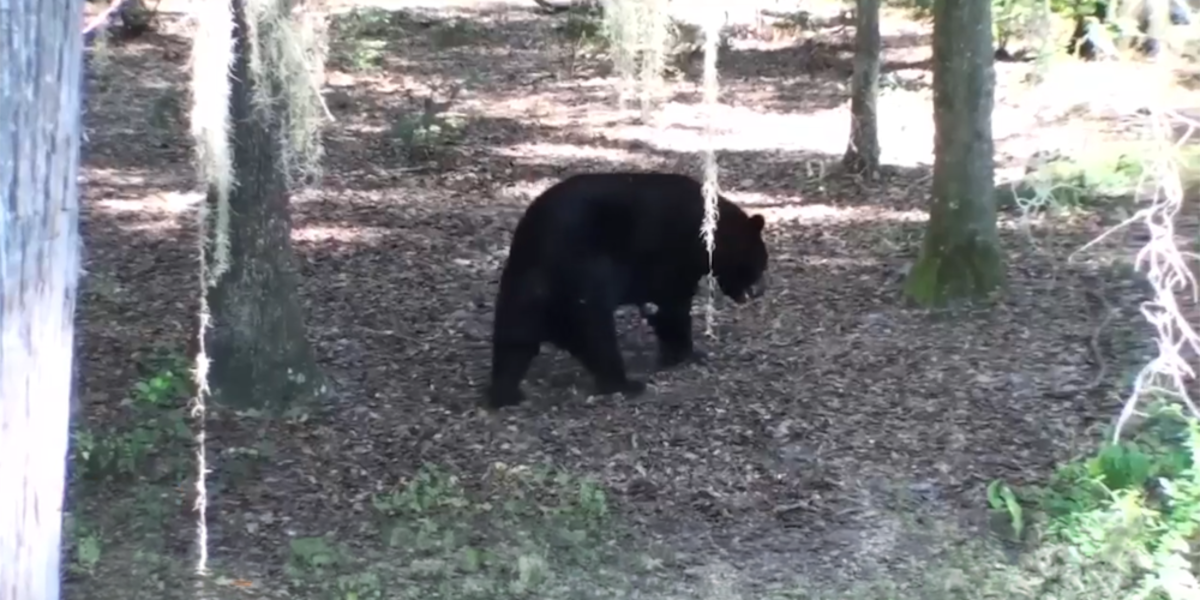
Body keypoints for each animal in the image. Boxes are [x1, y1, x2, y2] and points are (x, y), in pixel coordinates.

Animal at [484, 171, 770, 410]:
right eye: (760, 262)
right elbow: (672, 306)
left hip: (522, 288)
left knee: (513, 341)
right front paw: (686, 353)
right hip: (579, 277)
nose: (759, 291)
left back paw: (506, 392)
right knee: (596, 334)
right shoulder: (671, 257)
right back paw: (625, 383)